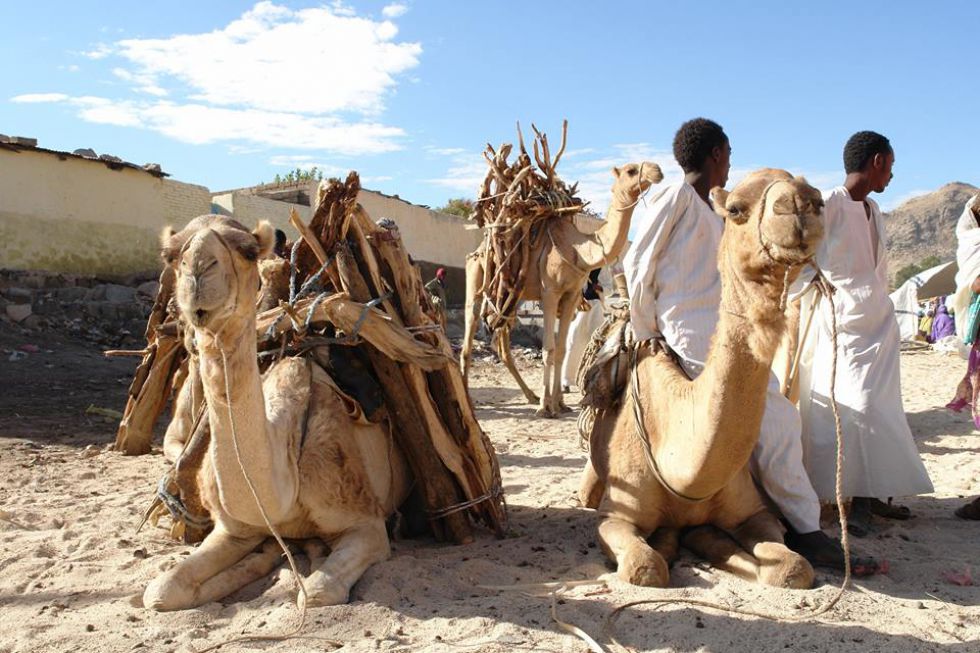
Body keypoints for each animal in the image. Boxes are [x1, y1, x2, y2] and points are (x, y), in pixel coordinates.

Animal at [462, 163, 664, 418]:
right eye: (631, 170)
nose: (657, 170)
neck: (578, 250)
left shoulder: (571, 295)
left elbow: (560, 350)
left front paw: (559, 403)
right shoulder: (550, 292)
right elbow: (548, 349)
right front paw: (545, 407)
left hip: (512, 297)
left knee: (501, 341)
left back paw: (530, 394)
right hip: (476, 280)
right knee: (469, 335)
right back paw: (468, 400)